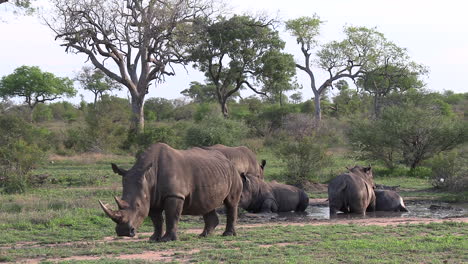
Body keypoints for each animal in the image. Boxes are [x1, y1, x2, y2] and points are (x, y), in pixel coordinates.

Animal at [98, 143, 241, 242]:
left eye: (138, 205)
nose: (123, 232)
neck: (148, 176)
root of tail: (226, 159)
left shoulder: (175, 194)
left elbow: (172, 216)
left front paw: (167, 240)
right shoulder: (151, 197)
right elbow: (156, 220)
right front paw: (153, 238)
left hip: (233, 172)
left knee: (231, 203)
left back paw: (227, 235)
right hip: (211, 172)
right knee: (206, 204)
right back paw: (203, 236)